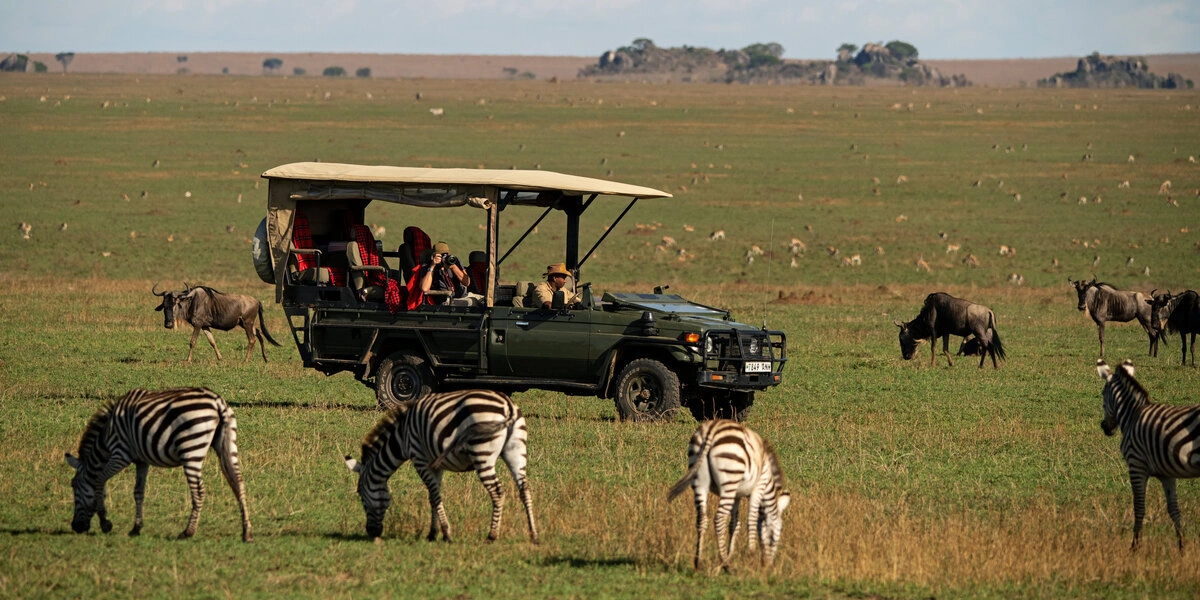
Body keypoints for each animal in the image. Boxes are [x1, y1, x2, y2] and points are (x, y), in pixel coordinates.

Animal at [64, 386, 252, 542]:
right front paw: (136, 528)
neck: (105, 435)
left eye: (74, 486)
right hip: (227, 442)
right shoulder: (142, 461)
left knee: (199, 492)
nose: (75, 527)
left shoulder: (120, 454)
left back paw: (188, 532)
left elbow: (99, 480)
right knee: (238, 482)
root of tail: (217, 402)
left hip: (191, 449)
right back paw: (246, 532)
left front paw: (105, 522)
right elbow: (138, 492)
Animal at [343, 388, 540, 544]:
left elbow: (435, 497)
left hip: (482, 453)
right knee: (525, 489)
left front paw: (445, 534)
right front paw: (432, 533)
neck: (402, 437)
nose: (371, 532)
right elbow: (433, 496)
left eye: (360, 494)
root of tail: (508, 406)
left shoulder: (420, 459)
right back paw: (534, 535)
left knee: (498, 492)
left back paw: (492, 536)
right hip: (516, 451)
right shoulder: (435, 465)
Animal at [667, 420, 787, 568]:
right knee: (719, 518)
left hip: (700, 480)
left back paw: (698, 562)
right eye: (775, 536)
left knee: (701, 518)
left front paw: (731, 553)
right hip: (729, 480)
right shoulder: (758, 489)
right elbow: (751, 521)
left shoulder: (737, 495)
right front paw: (751, 554)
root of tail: (712, 430)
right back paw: (724, 563)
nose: (768, 565)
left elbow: (734, 524)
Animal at [1099, 357, 1200, 549]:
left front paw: (1134, 547)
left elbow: (1139, 508)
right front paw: (1182, 546)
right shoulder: (1167, 473)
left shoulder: (1136, 465)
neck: (1132, 415)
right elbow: (1174, 510)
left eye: (1102, 394)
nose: (1104, 427)